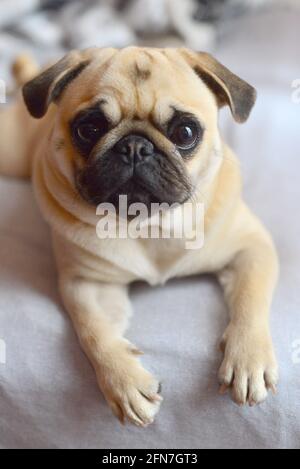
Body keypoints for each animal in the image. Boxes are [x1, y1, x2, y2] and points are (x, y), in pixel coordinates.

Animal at [0, 48, 278, 428]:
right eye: (89, 129)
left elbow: (250, 299)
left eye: (185, 132)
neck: (149, 224)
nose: (134, 146)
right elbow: (94, 331)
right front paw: (124, 383)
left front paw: (249, 360)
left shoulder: (252, 247)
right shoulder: (87, 284)